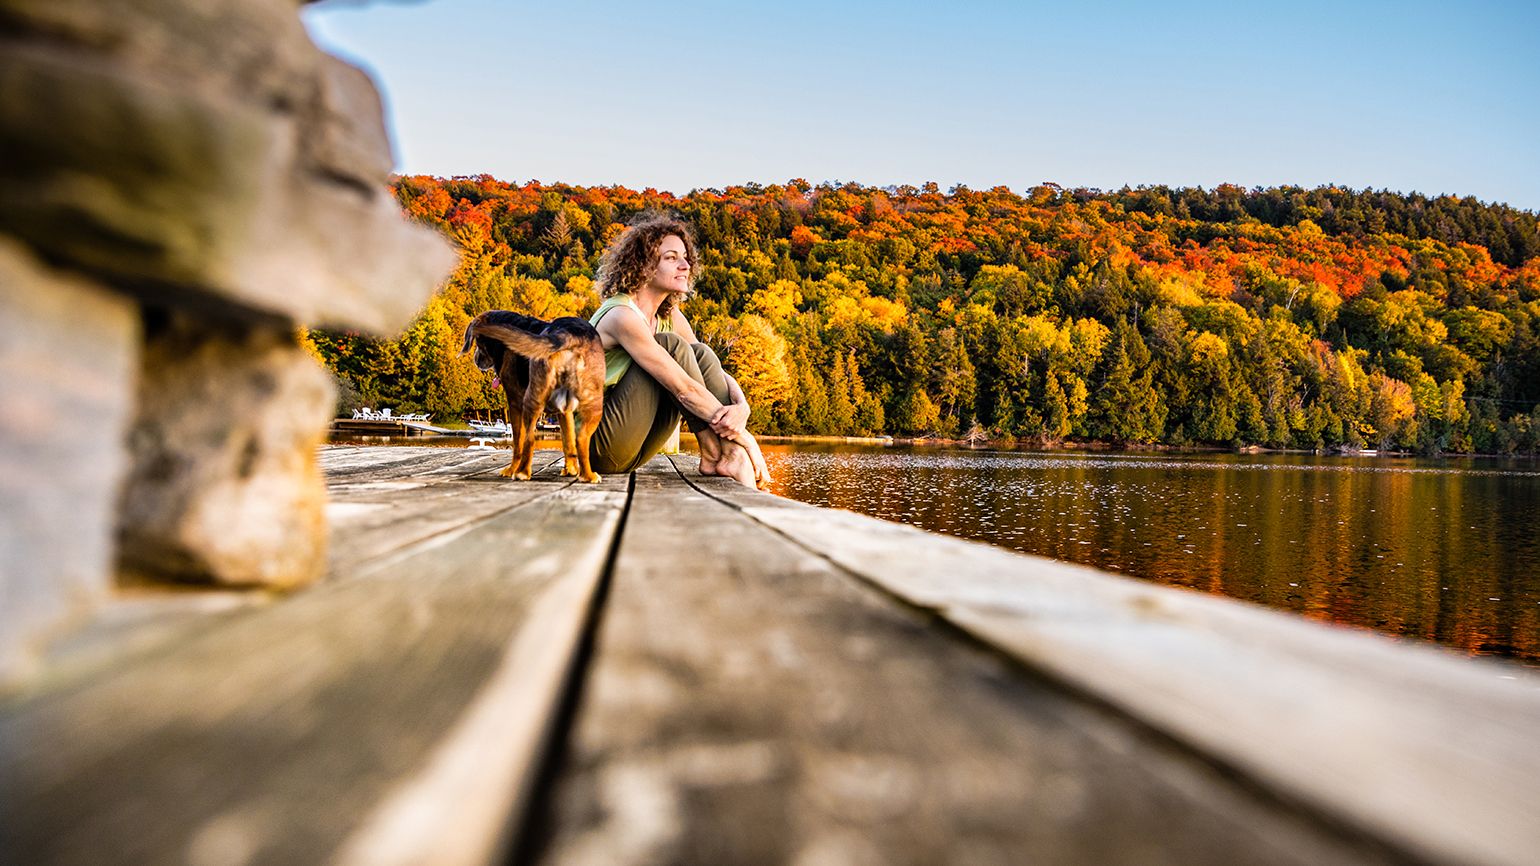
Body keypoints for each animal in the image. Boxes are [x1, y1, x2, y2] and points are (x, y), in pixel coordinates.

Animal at [458, 308, 603, 480]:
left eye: (478, 342)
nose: (476, 360)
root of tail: (569, 333)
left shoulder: (514, 402)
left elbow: (517, 443)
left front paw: (510, 470)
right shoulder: (564, 411)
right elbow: (568, 441)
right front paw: (570, 469)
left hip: (532, 398)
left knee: (530, 439)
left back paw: (522, 473)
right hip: (594, 404)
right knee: (581, 438)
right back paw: (588, 476)